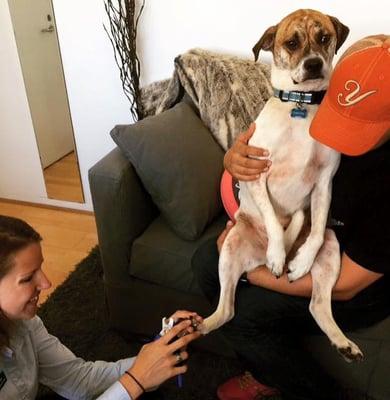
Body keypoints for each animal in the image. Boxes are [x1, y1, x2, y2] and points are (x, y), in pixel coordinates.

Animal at [200, 9, 364, 360]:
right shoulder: (257, 173)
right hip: (230, 248)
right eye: (292, 43)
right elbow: (275, 222)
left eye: (324, 37)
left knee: (317, 305)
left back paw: (343, 342)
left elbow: (314, 231)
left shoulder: (324, 183)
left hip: (332, 251)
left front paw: (298, 263)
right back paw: (199, 324)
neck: (299, 106)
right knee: (226, 309)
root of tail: (255, 260)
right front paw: (278, 255)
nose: (314, 64)